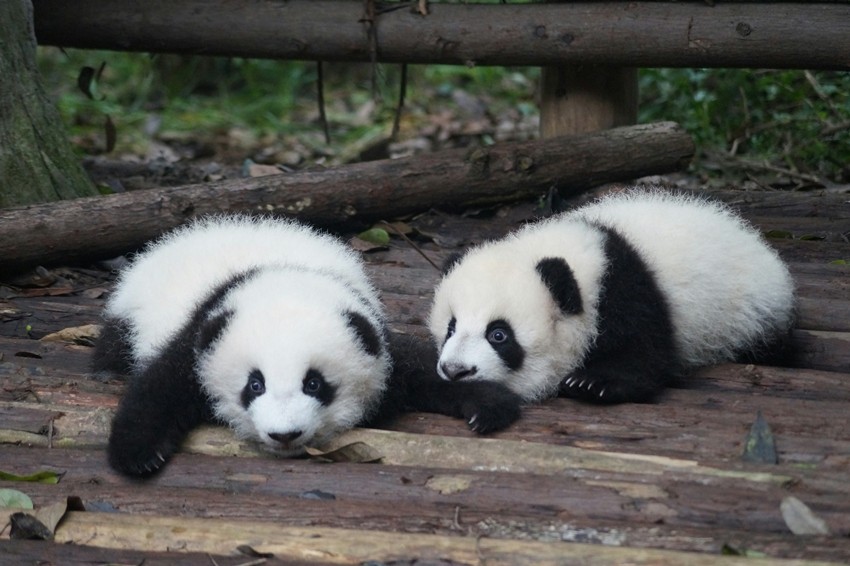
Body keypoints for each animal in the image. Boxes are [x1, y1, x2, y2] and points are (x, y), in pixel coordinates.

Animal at [95, 215, 520, 477]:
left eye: (314, 384)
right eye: (255, 385)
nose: (284, 435)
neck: (285, 275)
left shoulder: (371, 332)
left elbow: (420, 369)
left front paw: (487, 404)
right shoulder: (203, 331)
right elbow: (160, 386)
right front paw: (138, 455)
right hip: (129, 314)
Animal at [429, 188, 796, 406]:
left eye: (498, 335)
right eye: (450, 328)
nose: (455, 370)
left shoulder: (626, 289)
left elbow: (645, 353)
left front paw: (592, 383)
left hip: (751, 314)